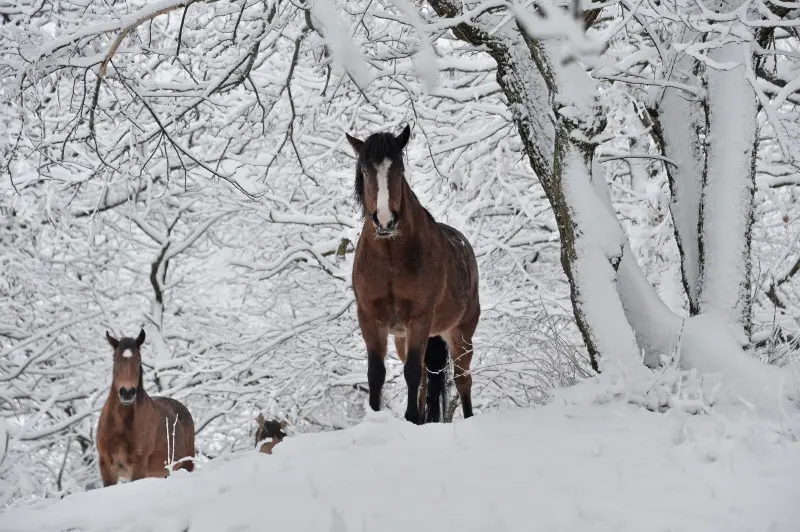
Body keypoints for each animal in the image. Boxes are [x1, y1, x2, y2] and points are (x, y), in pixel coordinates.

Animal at [96, 330, 196, 488]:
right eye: (115, 359)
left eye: (138, 359)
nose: (127, 392)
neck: (120, 427)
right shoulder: (106, 466)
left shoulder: (138, 467)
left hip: (186, 465)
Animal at [346, 123, 482, 424]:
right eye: (365, 171)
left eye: (400, 169)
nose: (385, 220)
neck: (390, 260)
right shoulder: (370, 319)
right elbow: (377, 374)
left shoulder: (419, 319)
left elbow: (411, 372)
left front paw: (410, 418)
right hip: (403, 338)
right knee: (425, 380)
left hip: (460, 333)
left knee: (463, 379)